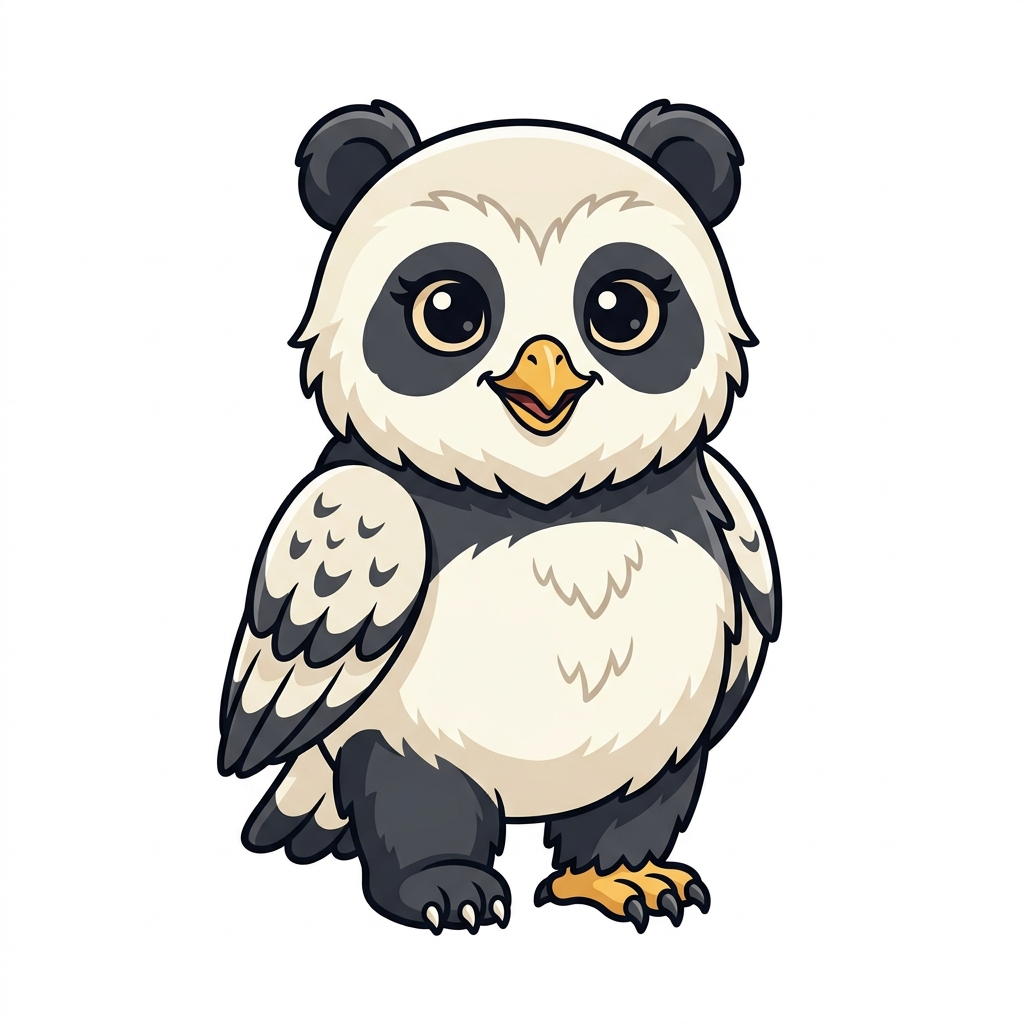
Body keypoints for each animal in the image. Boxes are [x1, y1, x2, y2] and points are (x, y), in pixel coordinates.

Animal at [218, 100, 780, 934]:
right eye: (450, 311)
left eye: (621, 309)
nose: (543, 375)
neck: (552, 503)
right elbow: (410, 794)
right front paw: (444, 889)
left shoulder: (712, 611)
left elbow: (651, 788)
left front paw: (628, 875)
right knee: (413, 799)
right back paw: (443, 886)